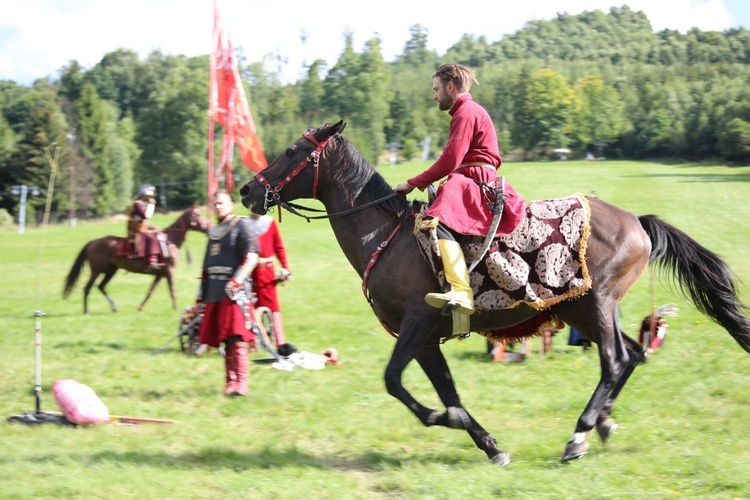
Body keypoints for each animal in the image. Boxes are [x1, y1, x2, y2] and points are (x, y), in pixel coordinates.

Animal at [63, 205, 210, 314]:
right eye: (198, 215)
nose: (208, 227)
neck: (170, 241)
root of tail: (92, 242)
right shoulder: (169, 272)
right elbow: (172, 291)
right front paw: (176, 309)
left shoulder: (160, 274)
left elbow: (150, 291)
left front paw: (140, 308)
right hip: (97, 271)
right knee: (87, 288)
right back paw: (86, 311)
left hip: (111, 270)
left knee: (101, 286)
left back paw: (114, 307)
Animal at [239, 123, 750, 466]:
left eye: (292, 150)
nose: (246, 190)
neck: (385, 237)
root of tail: (637, 222)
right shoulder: (424, 339)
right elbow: (445, 389)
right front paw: (487, 443)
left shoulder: (416, 326)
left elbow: (396, 383)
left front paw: (451, 423)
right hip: (584, 310)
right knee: (633, 354)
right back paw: (602, 423)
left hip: (597, 305)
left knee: (616, 360)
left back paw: (580, 434)